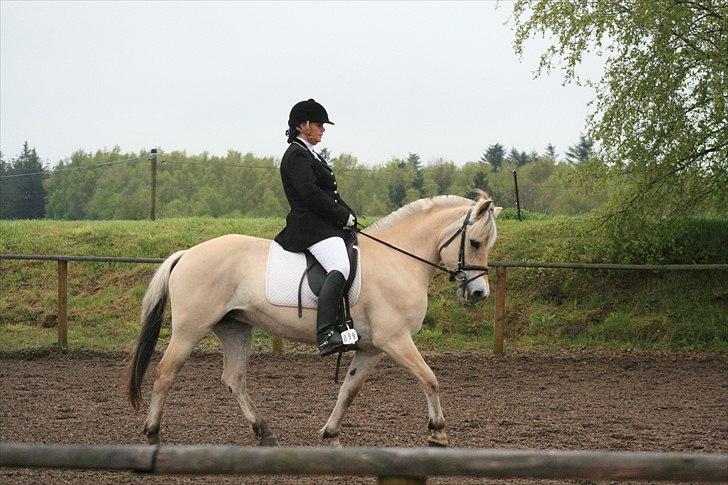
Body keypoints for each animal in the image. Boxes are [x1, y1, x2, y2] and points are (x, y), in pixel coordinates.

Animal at [125, 192, 500, 446]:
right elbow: (429, 378)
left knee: (233, 378)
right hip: (190, 329)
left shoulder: (372, 348)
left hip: (236, 328)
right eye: (475, 242)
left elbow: (349, 389)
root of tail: (187, 253)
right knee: (165, 374)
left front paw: (331, 434)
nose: (479, 293)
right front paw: (438, 434)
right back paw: (153, 434)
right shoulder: (395, 340)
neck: (398, 260)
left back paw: (264, 433)